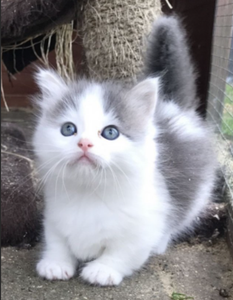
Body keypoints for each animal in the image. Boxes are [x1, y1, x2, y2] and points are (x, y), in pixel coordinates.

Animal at [32, 17, 217, 286]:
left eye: (110, 133)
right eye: (68, 129)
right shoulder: (54, 214)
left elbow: (123, 252)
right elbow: (57, 241)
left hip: (196, 193)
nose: (84, 143)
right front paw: (55, 264)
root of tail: (172, 105)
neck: (90, 195)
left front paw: (102, 270)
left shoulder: (145, 223)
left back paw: (160, 245)